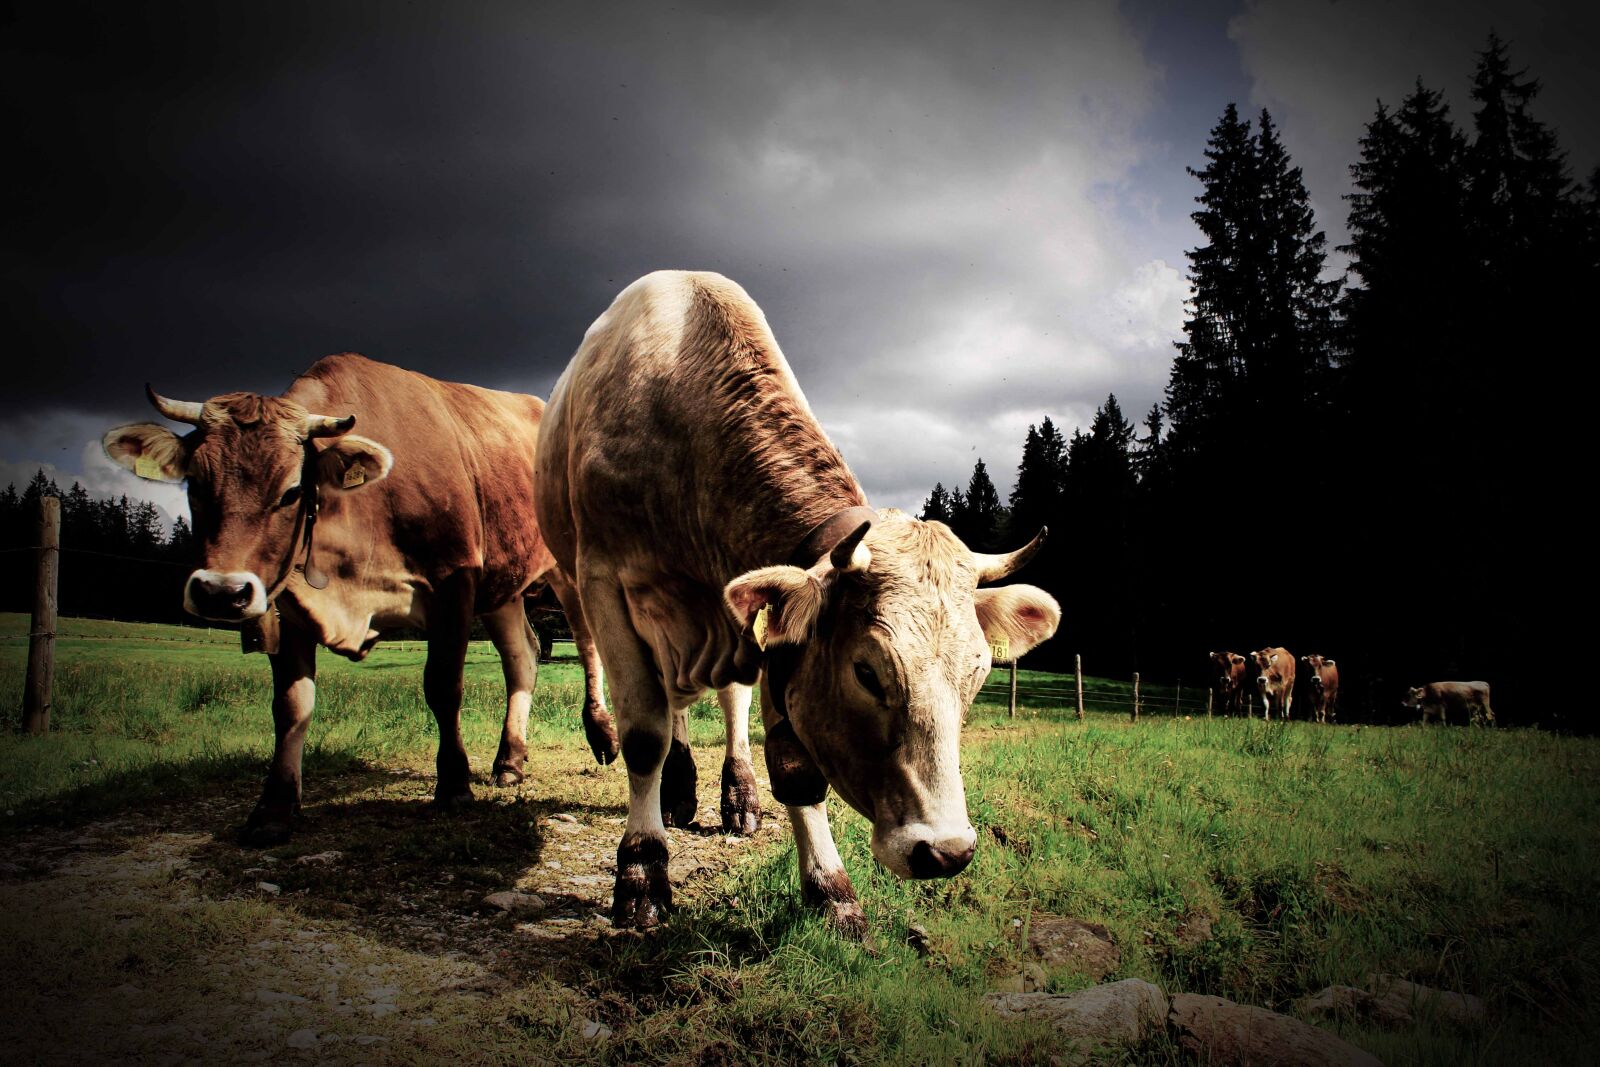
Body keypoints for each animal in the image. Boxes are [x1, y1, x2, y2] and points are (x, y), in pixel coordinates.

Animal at [101, 354, 620, 844]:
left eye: (292, 490)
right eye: (195, 484)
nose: (220, 592)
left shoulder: (453, 582)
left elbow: (443, 686)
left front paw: (453, 786)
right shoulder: (290, 603)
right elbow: (291, 705)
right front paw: (274, 809)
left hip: (565, 568)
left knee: (588, 641)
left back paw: (601, 731)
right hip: (502, 583)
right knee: (523, 657)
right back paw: (509, 761)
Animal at [534, 271, 1061, 934]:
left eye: (978, 673)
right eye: (867, 672)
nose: (946, 851)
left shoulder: (767, 633)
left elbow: (794, 768)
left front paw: (831, 889)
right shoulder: (603, 579)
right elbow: (644, 736)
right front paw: (642, 871)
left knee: (725, 701)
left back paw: (732, 794)